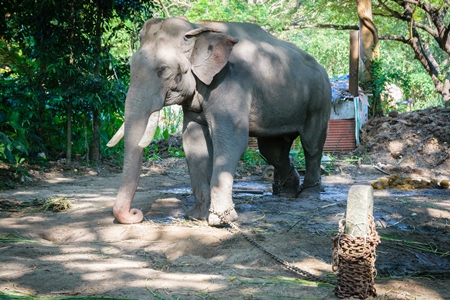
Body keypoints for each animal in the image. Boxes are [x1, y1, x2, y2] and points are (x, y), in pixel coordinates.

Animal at [105, 17, 330, 225]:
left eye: (164, 70)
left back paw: (308, 196)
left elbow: (231, 142)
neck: (197, 28)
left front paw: (220, 220)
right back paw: (286, 193)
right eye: (131, 66)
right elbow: (193, 143)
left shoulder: (231, 81)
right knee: (272, 150)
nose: (135, 213)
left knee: (311, 144)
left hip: (319, 99)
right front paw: (196, 216)